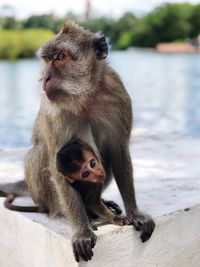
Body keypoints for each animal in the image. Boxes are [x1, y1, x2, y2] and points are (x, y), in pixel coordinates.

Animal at [0, 22, 155, 262]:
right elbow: (57, 166)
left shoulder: (118, 94)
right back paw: (68, 212)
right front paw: (82, 231)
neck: (86, 96)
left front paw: (135, 213)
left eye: (60, 57)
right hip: (42, 193)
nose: (45, 78)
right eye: (47, 59)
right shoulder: (56, 112)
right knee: (41, 152)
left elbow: (119, 153)